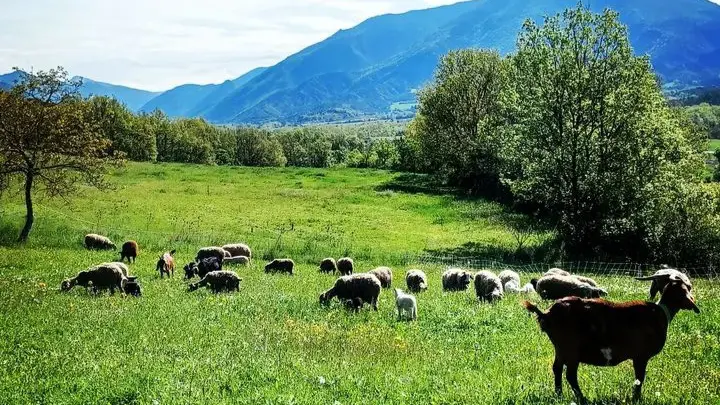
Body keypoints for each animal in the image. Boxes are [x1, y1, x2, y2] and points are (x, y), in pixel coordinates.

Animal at [524, 274, 700, 402]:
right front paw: (636, 398)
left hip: (561, 349)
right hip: (570, 348)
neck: (661, 313)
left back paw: (559, 395)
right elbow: (639, 378)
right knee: (571, 375)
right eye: (687, 288)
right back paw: (582, 399)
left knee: (557, 369)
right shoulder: (640, 356)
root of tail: (546, 314)